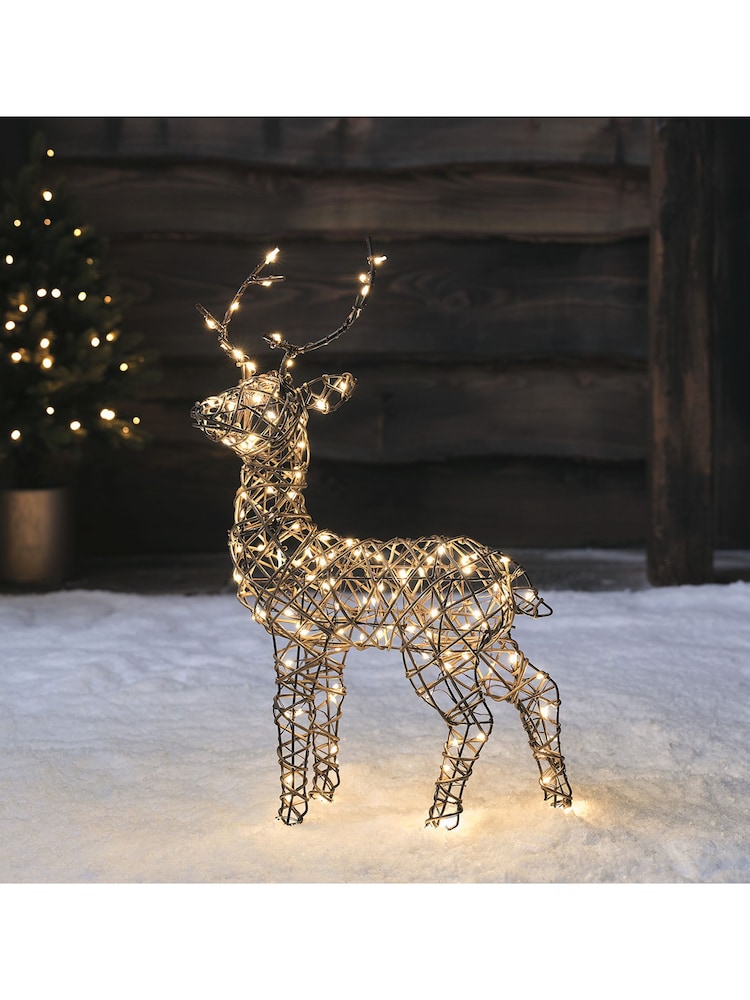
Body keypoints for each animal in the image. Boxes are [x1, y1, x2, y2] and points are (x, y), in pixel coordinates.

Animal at [191, 239, 573, 830]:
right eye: (237, 383)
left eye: (268, 398)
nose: (202, 408)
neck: (284, 539)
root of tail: (512, 577)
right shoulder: (332, 644)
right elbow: (328, 705)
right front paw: (326, 794)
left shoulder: (299, 633)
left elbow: (288, 712)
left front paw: (291, 815)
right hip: (492, 640)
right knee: (540, 687)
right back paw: (560, 801)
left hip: (438, 646)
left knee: (475, 718)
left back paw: (438, 820)